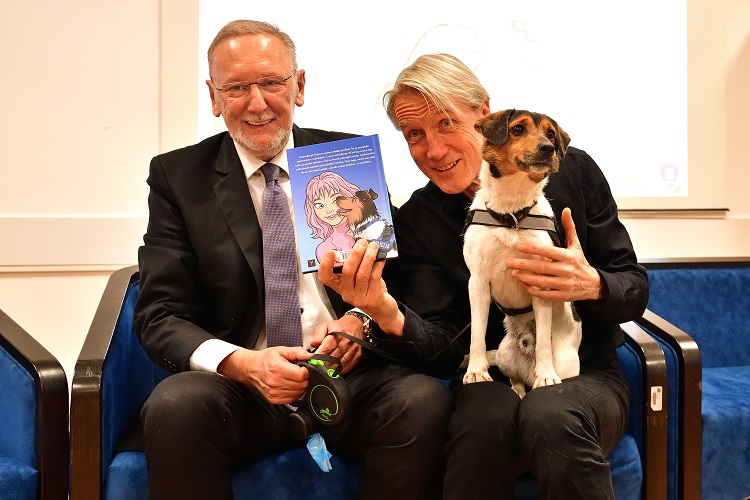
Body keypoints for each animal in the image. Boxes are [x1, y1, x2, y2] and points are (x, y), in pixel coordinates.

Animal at [462, 109, 582, 398]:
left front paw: (546, 376)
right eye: (517, 129)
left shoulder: (542, 282)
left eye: (551, 134)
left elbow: (544, 344)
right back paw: (518, 390)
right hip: (505, 354)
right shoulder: (478, 281)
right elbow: (477, 333)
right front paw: (476, 371)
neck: (512, 213)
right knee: (515, 378)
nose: (548, 148)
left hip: (566, 362)